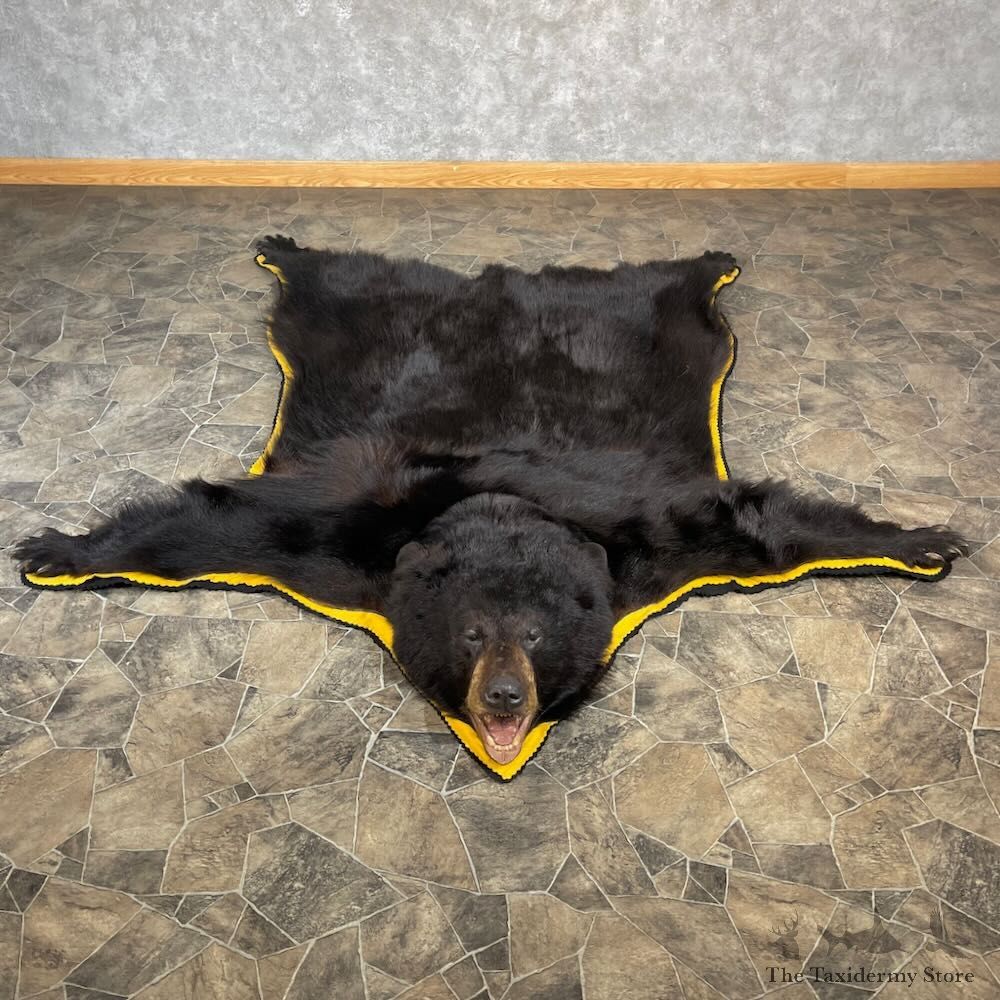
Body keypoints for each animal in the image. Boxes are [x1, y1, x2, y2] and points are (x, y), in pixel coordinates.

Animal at [14, 235, 968, 768]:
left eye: (536, 636)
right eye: (472, 633)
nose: (506, 699)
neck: (495, 506)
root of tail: (493, 284)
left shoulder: (648, 538)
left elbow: (761, 527)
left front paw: (919, 538)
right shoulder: (339, 540)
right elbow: (214, 525)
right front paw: (62, 550)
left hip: (666, 329)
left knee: (672, 290)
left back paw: (708, 262)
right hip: (348, 323)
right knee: (329, 284)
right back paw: (285, 245)